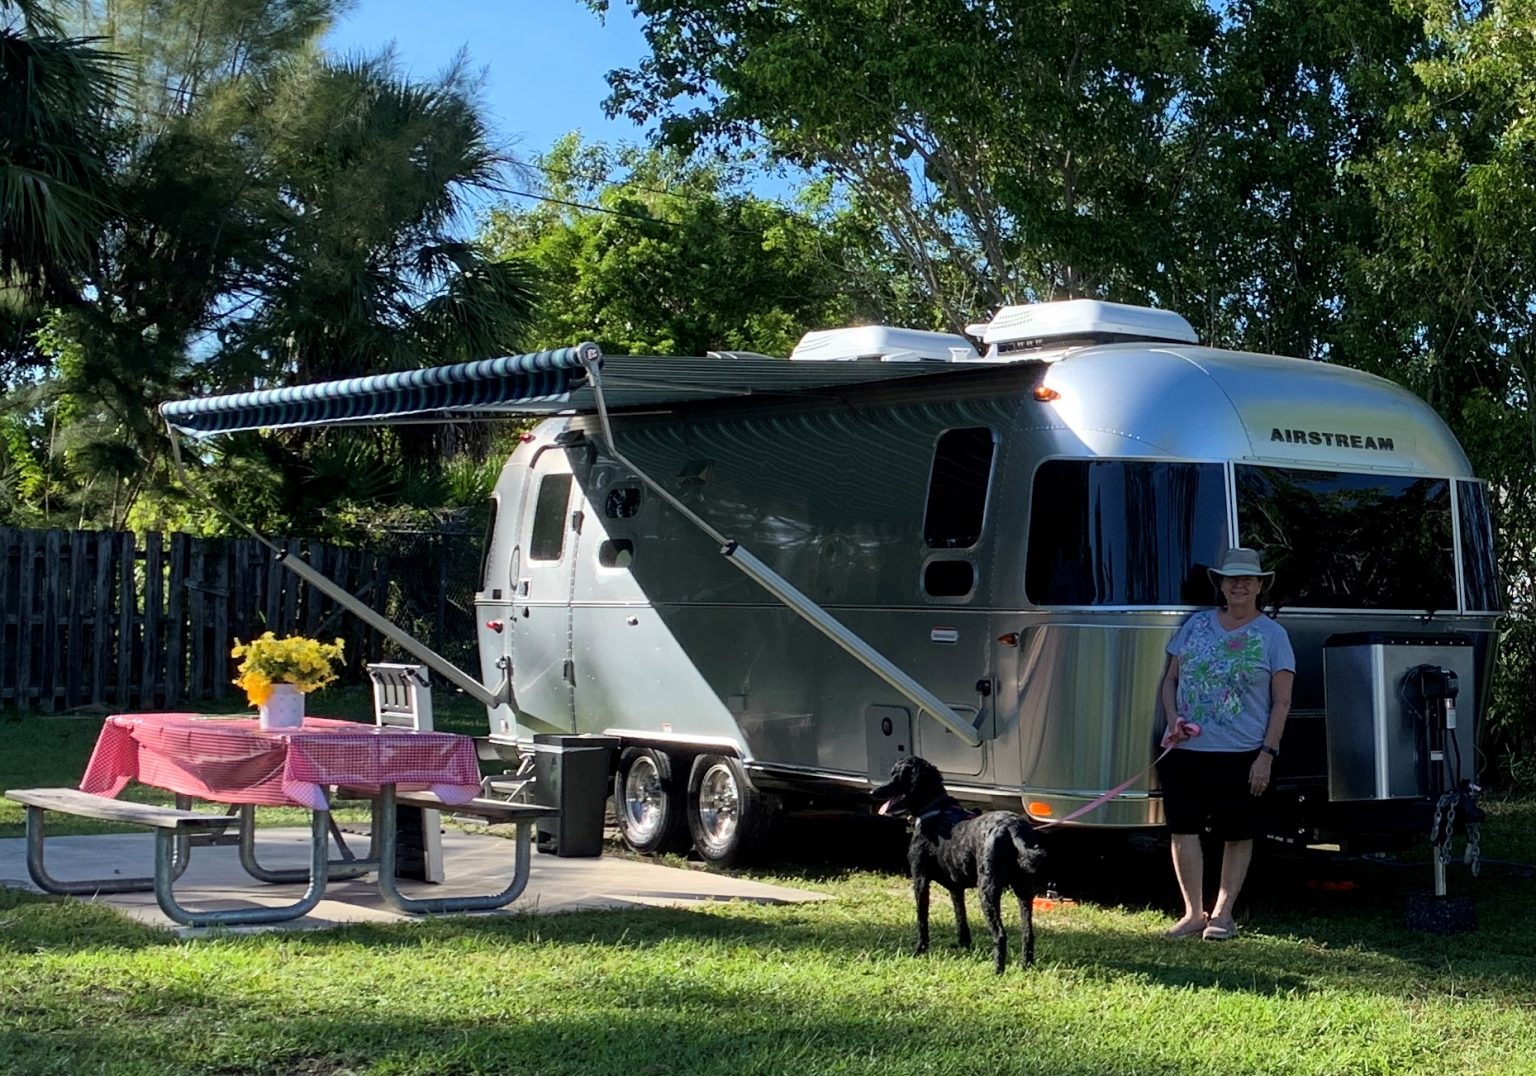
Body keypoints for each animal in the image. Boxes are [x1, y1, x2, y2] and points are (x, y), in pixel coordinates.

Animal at [872, 755, 1046, 973]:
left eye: (898, 776)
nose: (872, 792)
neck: (934, 808)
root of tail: (1014, 829)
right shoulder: (956, 888)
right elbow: (960, 917)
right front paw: (964, 947)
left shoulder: (920, 880)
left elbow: (922, 919)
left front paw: (920, 950)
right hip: (1024, 890)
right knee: (1028, 933)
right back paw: (1026, 966)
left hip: (987, 890)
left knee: (1000, 934)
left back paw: (997, 971)